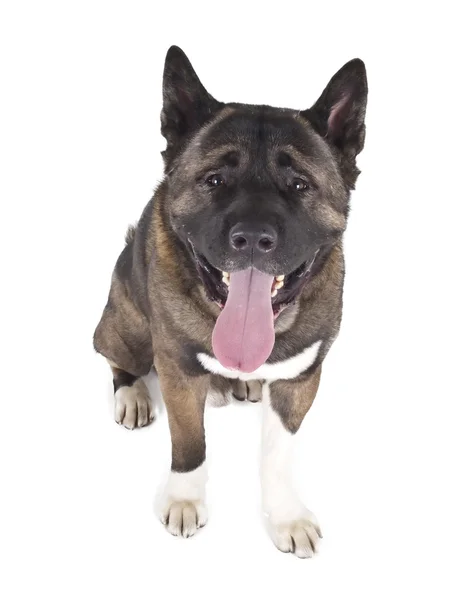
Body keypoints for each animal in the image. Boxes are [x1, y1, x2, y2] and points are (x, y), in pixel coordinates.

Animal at [93, 45, 366, 556]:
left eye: (300, 184)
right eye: (215, 180)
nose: (253, 238)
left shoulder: (300, 381)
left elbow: (277, 457)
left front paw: (286, 517)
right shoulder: (177, 370)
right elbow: (189, 442)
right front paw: (184, 500)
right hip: (126, 327)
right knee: (116, 358)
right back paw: (133, 395)